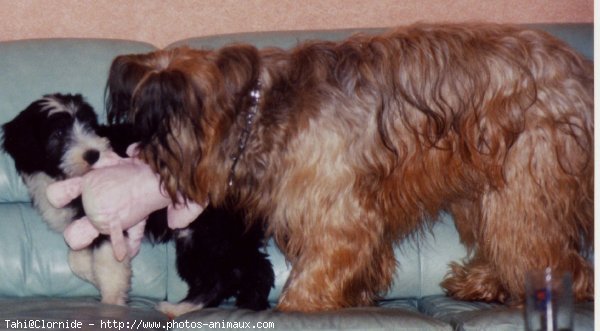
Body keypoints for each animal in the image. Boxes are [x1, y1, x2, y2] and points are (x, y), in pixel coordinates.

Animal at [1, 93, 274, 314]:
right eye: (58, 134)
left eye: (88, 128)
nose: (93, 154)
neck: (60, 178)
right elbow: (75, 258)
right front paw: (94, 277)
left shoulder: (108, 222)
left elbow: (107, 263)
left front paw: (112, 301)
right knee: (254, 267)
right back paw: (250, 304)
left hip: (204, 232)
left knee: (222, 276)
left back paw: (179, 308)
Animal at [105, 24, 592, 314]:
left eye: (150, 137)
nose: (128, 159)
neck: (256, 111)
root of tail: (579, 71)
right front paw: (358, 295)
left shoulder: (337, 206)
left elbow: (325, 259)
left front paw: (299, 305)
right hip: (482, 188)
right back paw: (482, 284)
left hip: (525, 181)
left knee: (547, 253)